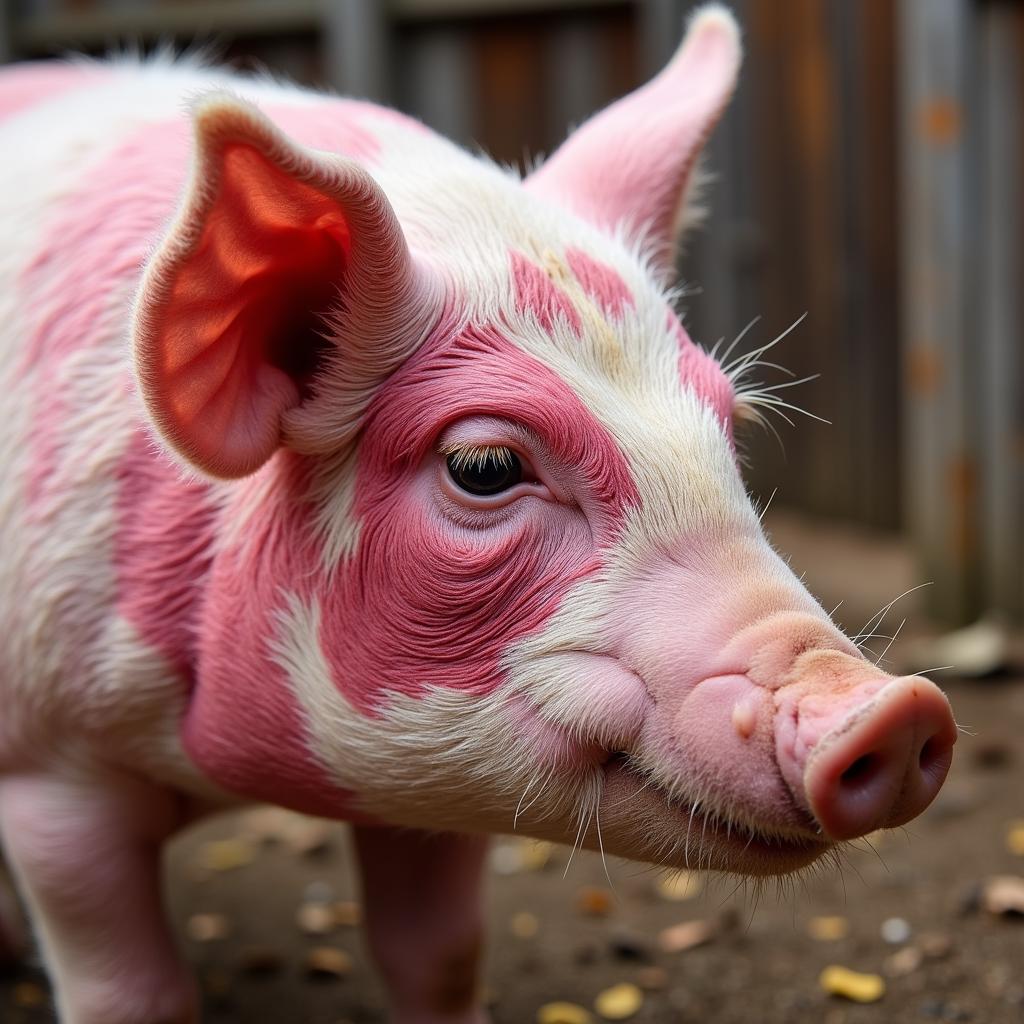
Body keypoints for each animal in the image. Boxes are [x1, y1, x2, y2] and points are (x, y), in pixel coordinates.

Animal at [0, 8, 958, 1024]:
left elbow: (441, 951)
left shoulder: (437, 781)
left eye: (727, 425)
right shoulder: (51, 769)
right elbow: (134, 993)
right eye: (484, 467)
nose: (896, 711)